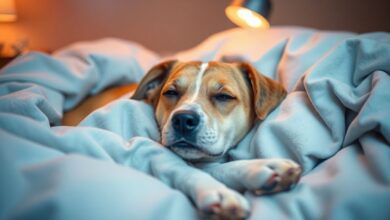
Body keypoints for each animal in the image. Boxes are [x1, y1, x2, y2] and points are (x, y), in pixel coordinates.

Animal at [63, 59, 302, 218]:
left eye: (224, 96)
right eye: (170, 92)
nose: (184, 120)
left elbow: (221, 168)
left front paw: (265, 168)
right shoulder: (141, 146)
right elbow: (181, 168)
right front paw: (219, 193)